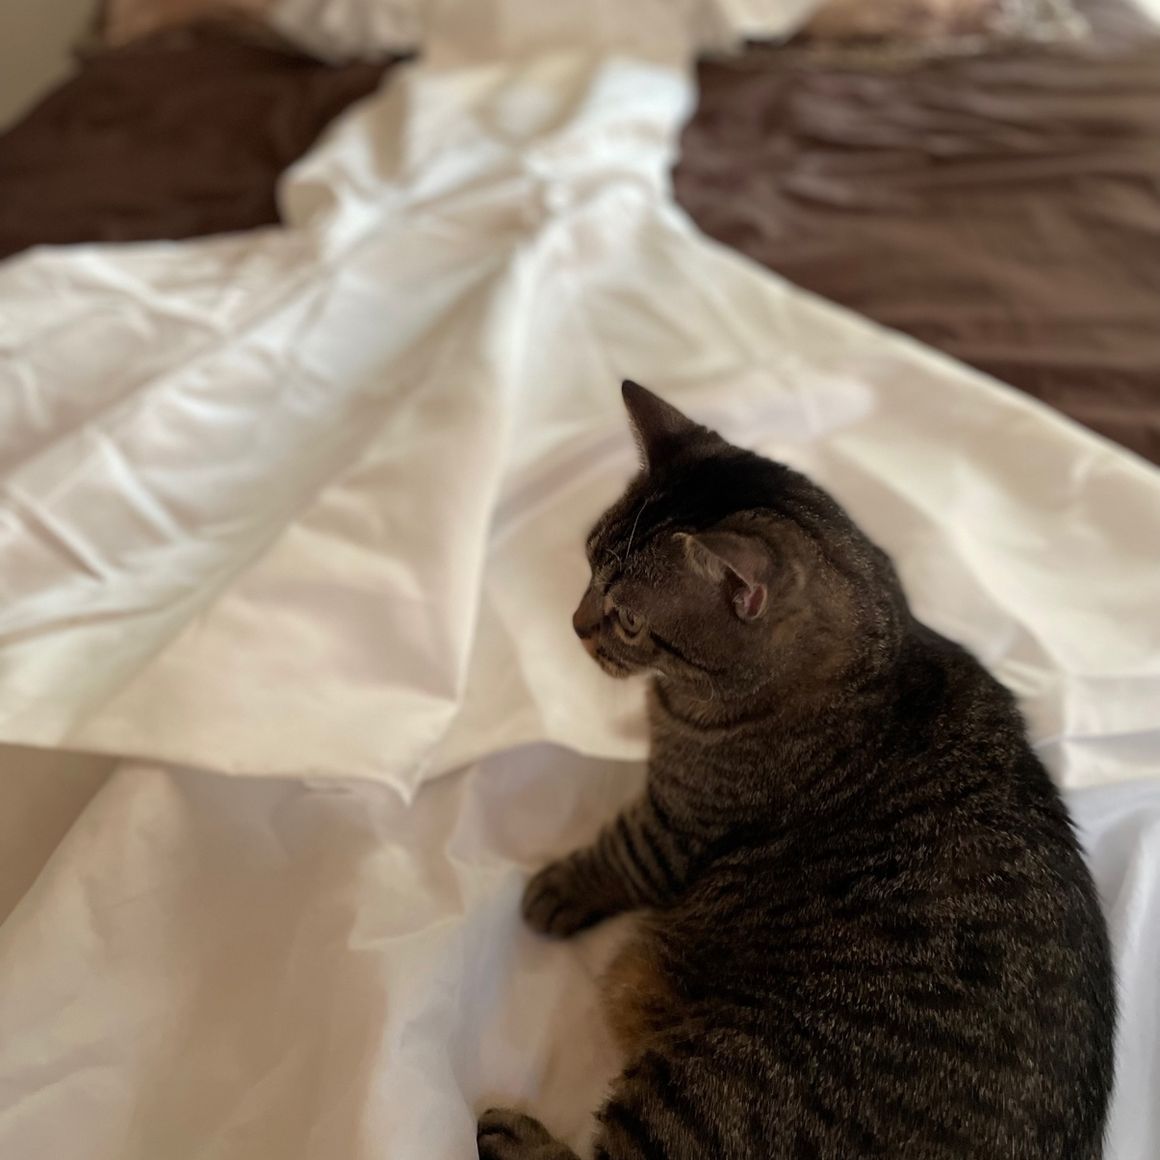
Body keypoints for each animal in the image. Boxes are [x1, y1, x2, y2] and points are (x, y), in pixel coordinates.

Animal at [477, 381, 1115, 1160]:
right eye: (587, 567)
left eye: (626, 619)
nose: (575, 625)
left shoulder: (674, 823)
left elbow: (613, 853)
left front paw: (559, 888)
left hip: (716, 1084)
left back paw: (511, 1136)